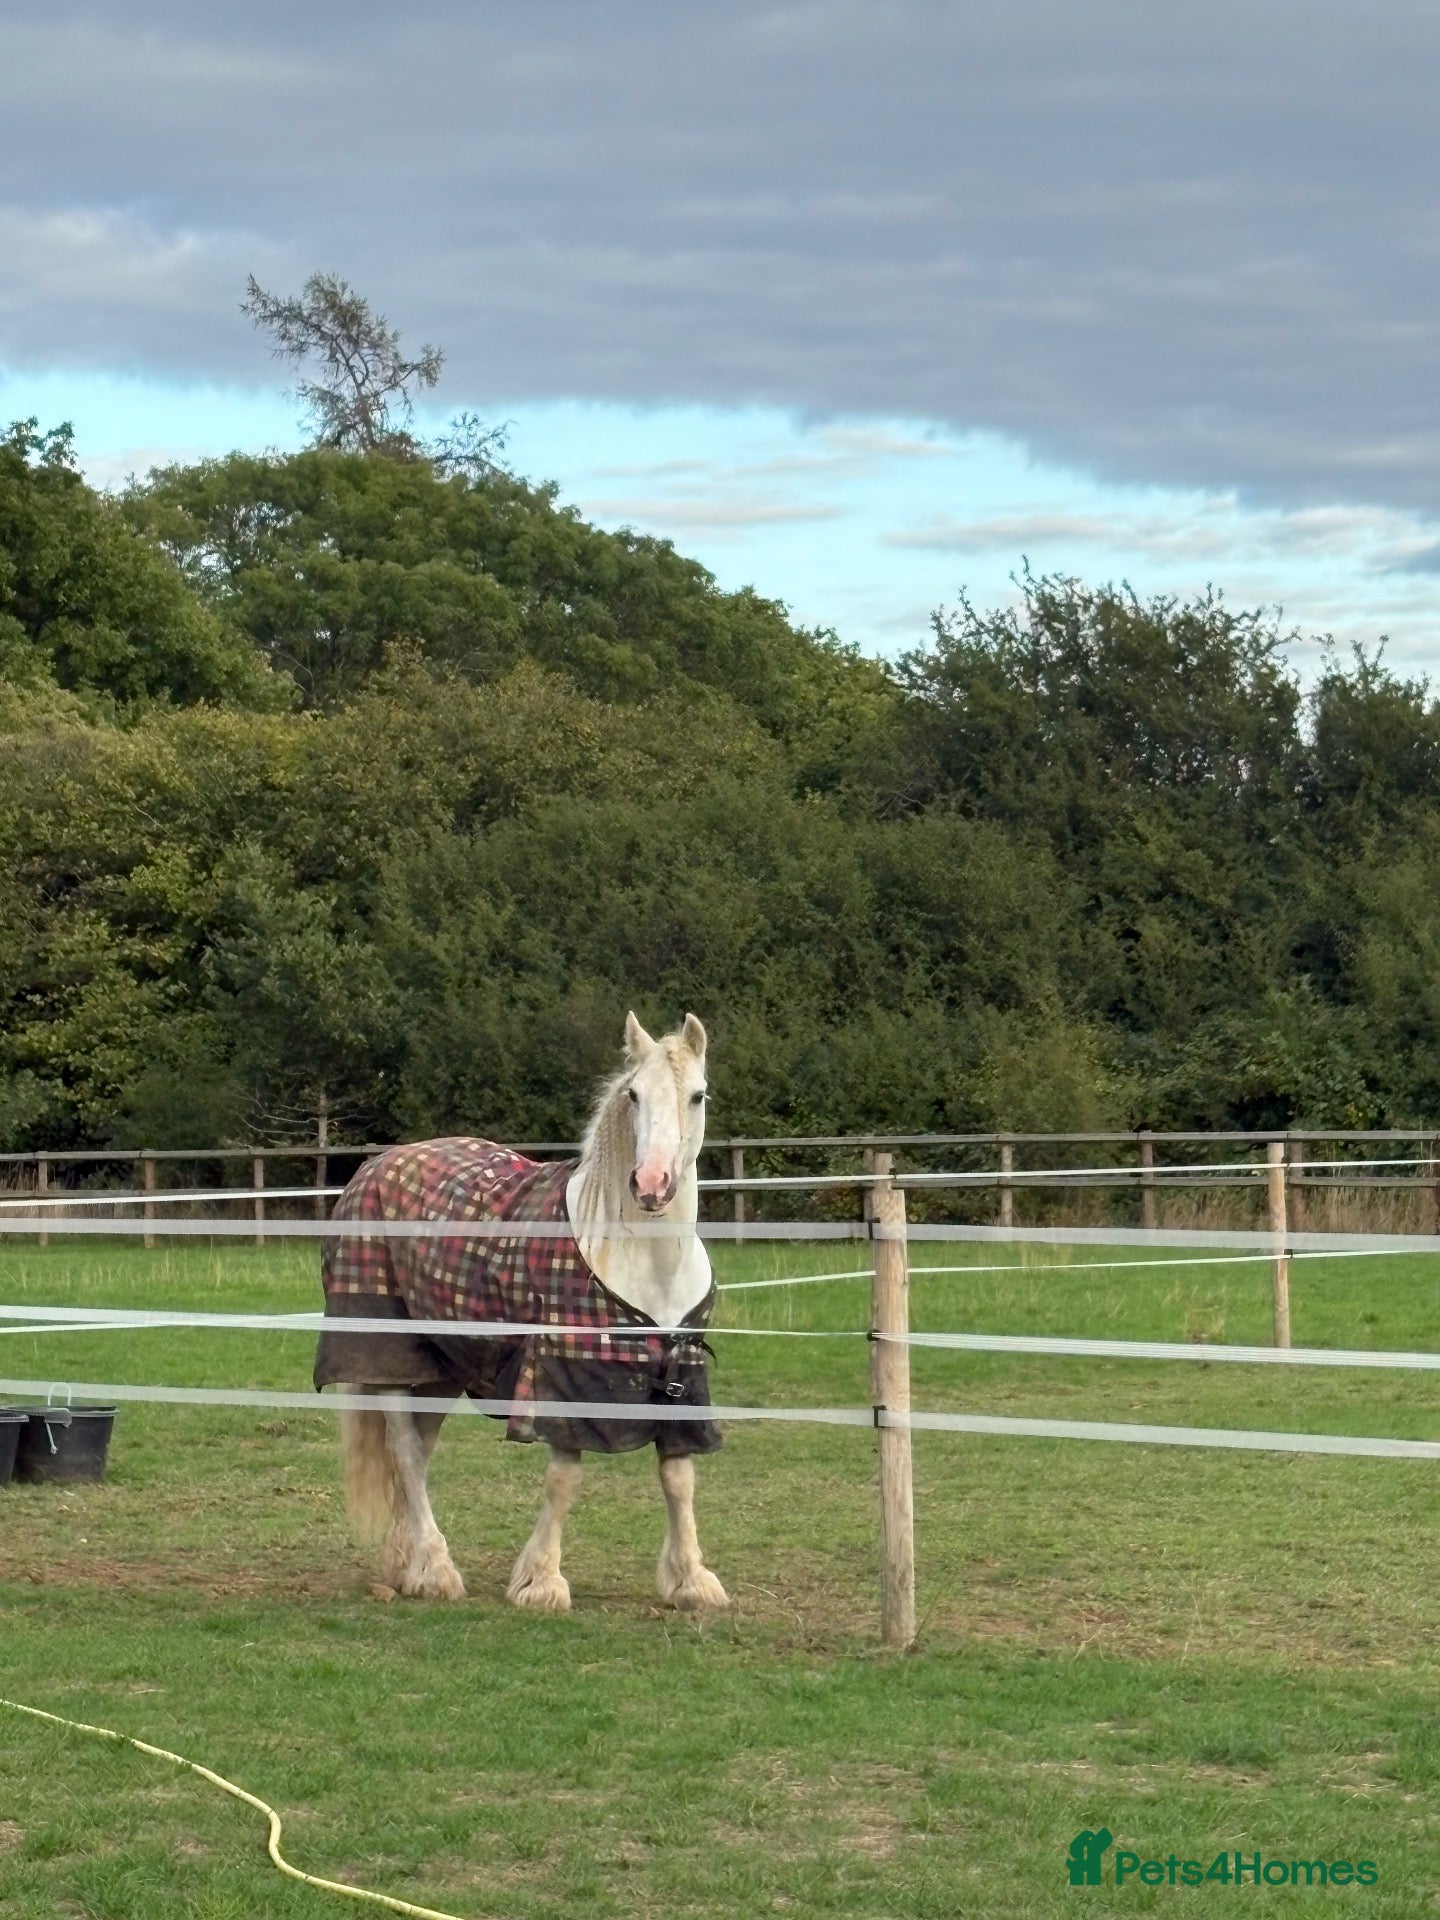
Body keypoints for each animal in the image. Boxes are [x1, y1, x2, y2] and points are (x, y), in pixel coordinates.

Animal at [313, 1012, 730, 1613]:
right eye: (632, 1095)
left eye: (697, 1095)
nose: (651, 1185)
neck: (645, 1263)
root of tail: (375, 1165)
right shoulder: (562, 1380)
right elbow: (563, 1479)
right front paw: (541, 1581)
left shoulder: (680, 1379)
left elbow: (679, 1478)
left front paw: (692, 1579)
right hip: (390, 1355)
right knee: (407, 1453)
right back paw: (435, 1570)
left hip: (444, 1368)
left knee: (417, 1451)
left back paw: (405, 1566)